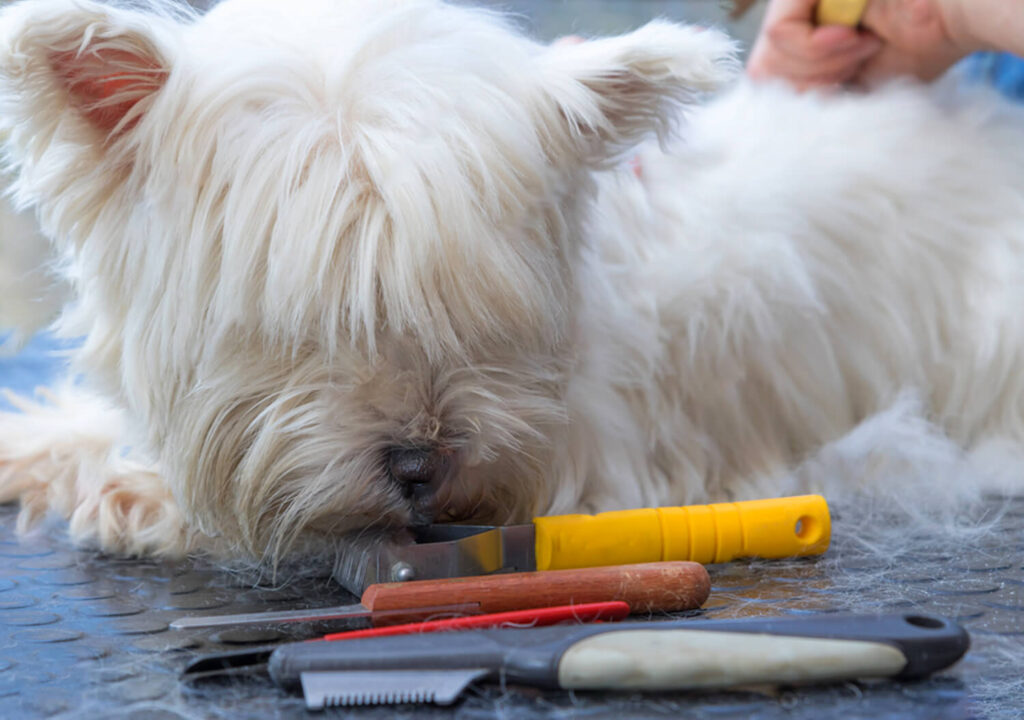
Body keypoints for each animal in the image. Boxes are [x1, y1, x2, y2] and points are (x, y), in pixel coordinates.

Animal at [2, 0, 1024, 569]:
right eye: (303, 321)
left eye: (486, 314)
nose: (420, 467)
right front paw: (50, 449)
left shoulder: (601, 467)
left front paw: (146, 498)